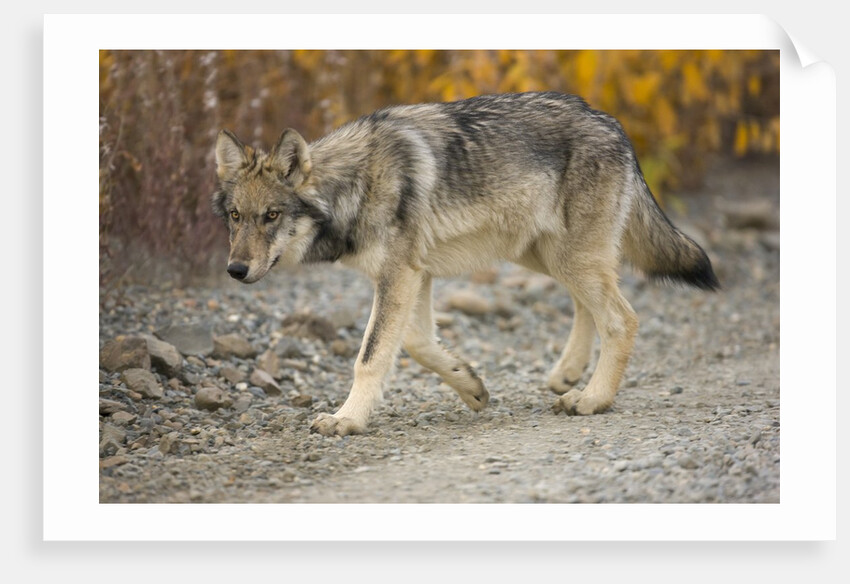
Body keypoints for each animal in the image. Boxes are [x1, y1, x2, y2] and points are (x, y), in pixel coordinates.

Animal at [212, 91, 718, 437]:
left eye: (271, 216)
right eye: (235, 217)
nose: (234, 271)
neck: (355, 183)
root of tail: (614, 124)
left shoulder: (399, 275)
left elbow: (370, 357)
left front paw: (346, 420)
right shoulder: (415, 275)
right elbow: (418, 344)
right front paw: (471, 386)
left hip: (569, 258)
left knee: (622, 319)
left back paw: (592, 399)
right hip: (549, 257)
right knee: (587, 307)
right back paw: (569, 376)